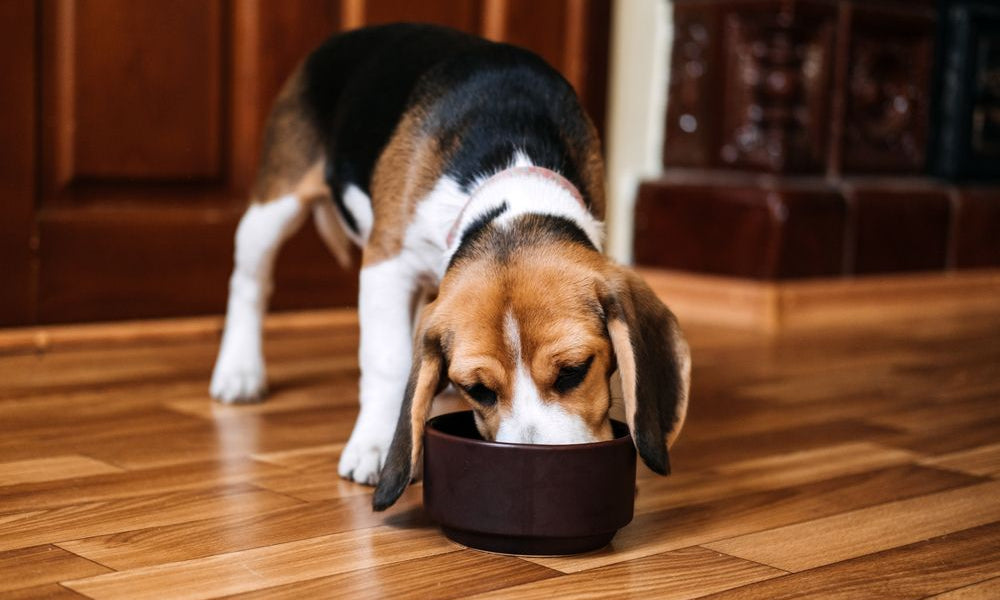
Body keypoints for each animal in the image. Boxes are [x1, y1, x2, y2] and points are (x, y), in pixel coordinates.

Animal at [207, 24, 692, 510]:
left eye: (574, 371)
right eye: (478, 391)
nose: (534, 471)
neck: (511, 176)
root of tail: (347, 35)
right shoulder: (386, 264)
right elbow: (385, 359)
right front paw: (375, 444)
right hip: (273, 208)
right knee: (249, 283)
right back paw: (239, 371)